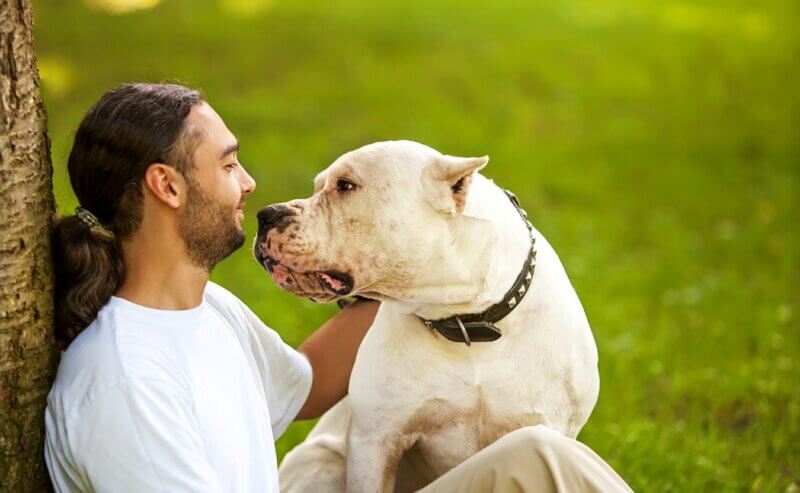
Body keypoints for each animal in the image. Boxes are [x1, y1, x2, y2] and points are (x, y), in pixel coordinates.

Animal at [253, 140, 596, 490]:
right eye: (318, 186)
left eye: (345, 185)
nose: (266, 215)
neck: (466, 320)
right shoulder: (374, 441)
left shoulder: (548, 425)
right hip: (323, 461)